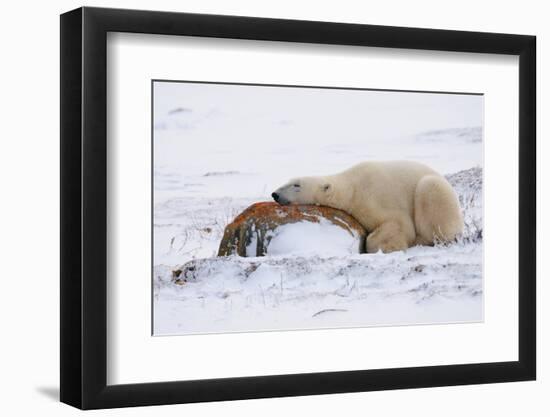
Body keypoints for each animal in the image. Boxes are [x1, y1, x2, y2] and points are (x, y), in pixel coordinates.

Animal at [274, 160, 464, 252]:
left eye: (296, 185)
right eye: (289, 181)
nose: (275, 194)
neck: (352, 188)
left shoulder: (377, 196)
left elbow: (400, 225)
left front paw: (387, 247)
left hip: (437, 193)